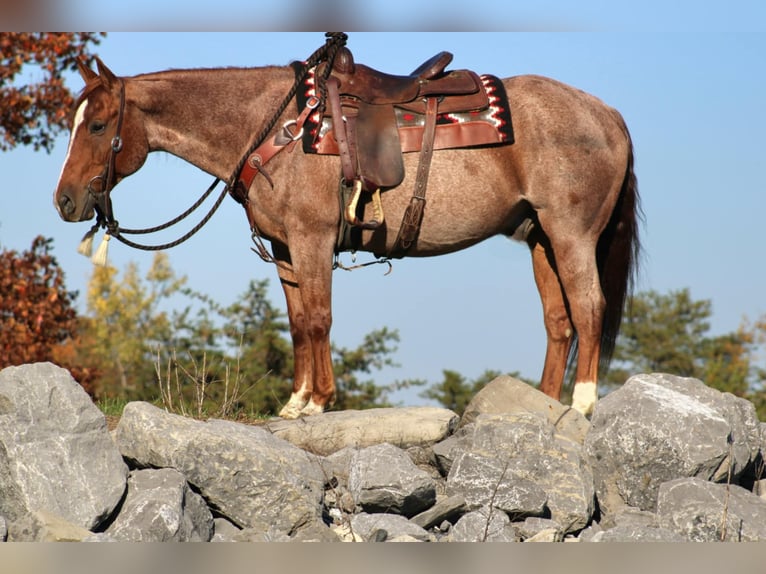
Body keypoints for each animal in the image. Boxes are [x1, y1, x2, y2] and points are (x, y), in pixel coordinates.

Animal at [55, 41, 640, 418]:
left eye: (99, 125)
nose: (65, 201)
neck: (279, 128)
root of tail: (608, 113)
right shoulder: (284, 247)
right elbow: (297, 323)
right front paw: (294, 404)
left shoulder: (311, 239)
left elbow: (319, 318)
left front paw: (319, 402)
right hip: (540, 238)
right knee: (559, 321)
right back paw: (543, 405)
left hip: (571, 234)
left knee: (588, 308)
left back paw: (583, 404)